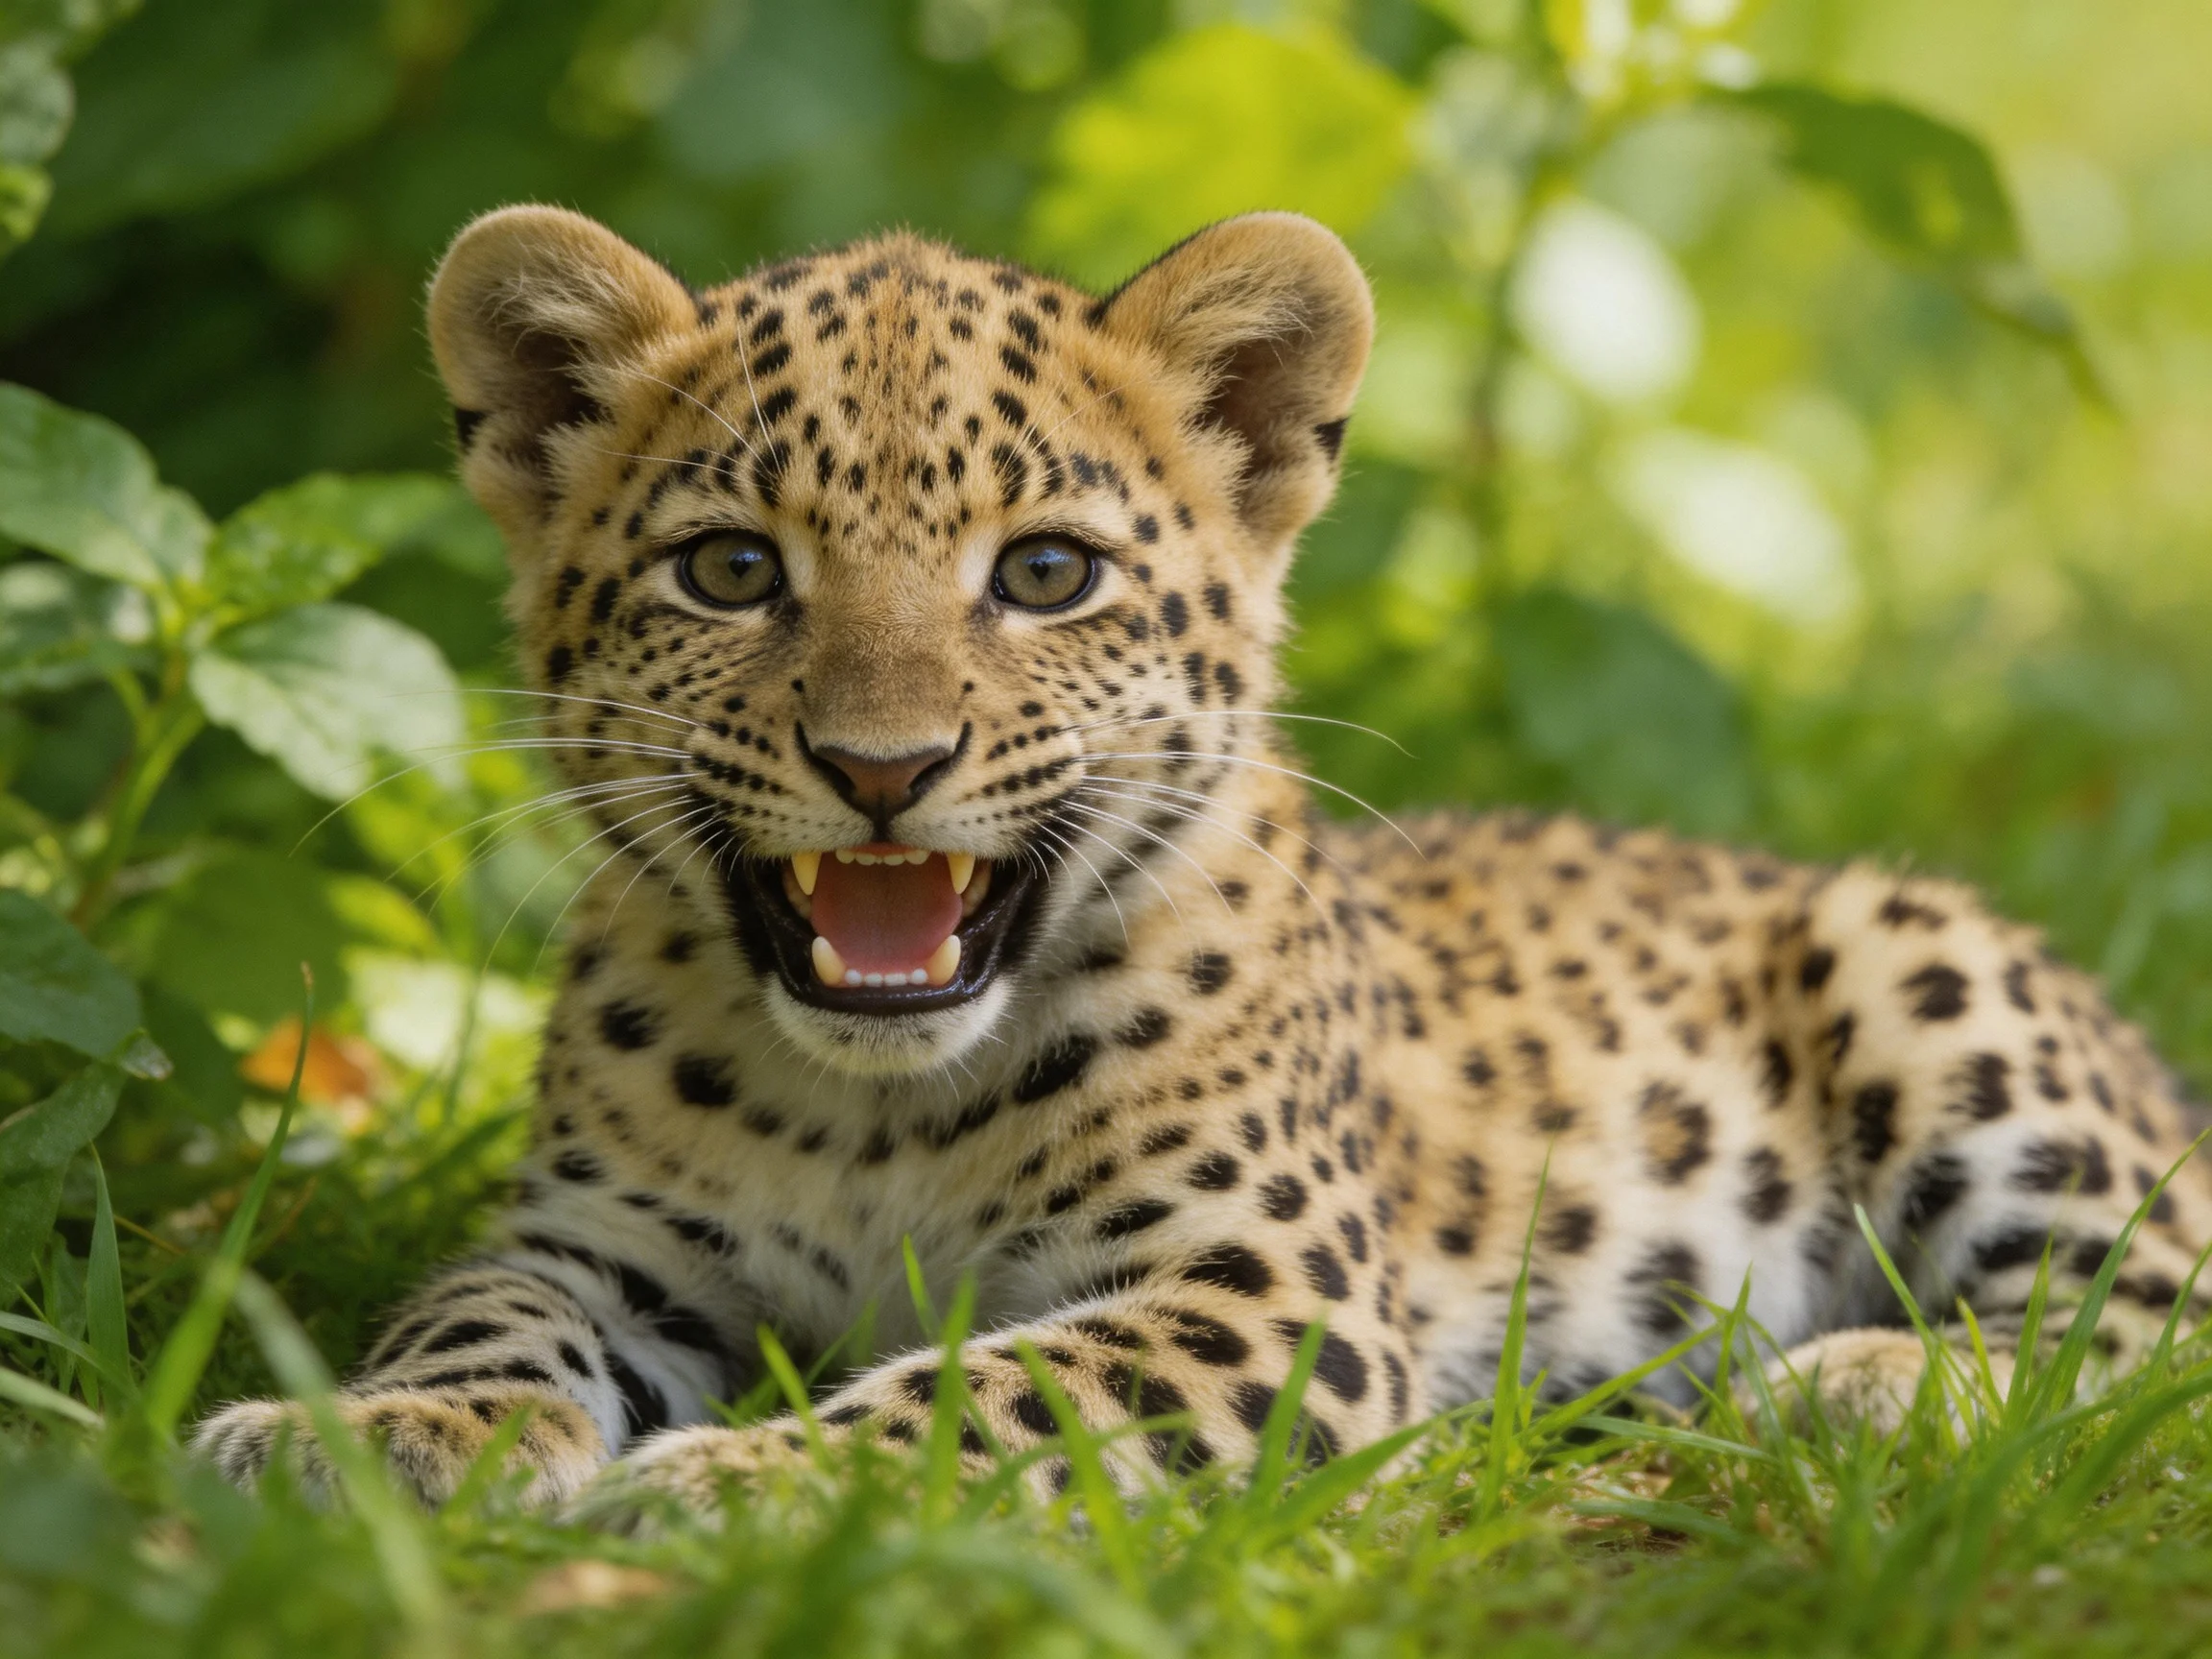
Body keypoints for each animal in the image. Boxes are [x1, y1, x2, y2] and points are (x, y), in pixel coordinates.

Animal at [194, 204, 2212, 1514]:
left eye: (1042, 572)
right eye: (730, 569)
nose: (878, 768)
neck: (869, 1108)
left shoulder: (1260, 1288)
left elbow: (987, 1394)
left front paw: (735, 1480)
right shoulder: (603, 1240)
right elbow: (478, 1305)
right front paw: (357, 1433)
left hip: (1913, 955)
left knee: (2147, 1316)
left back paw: (1853, 1379)